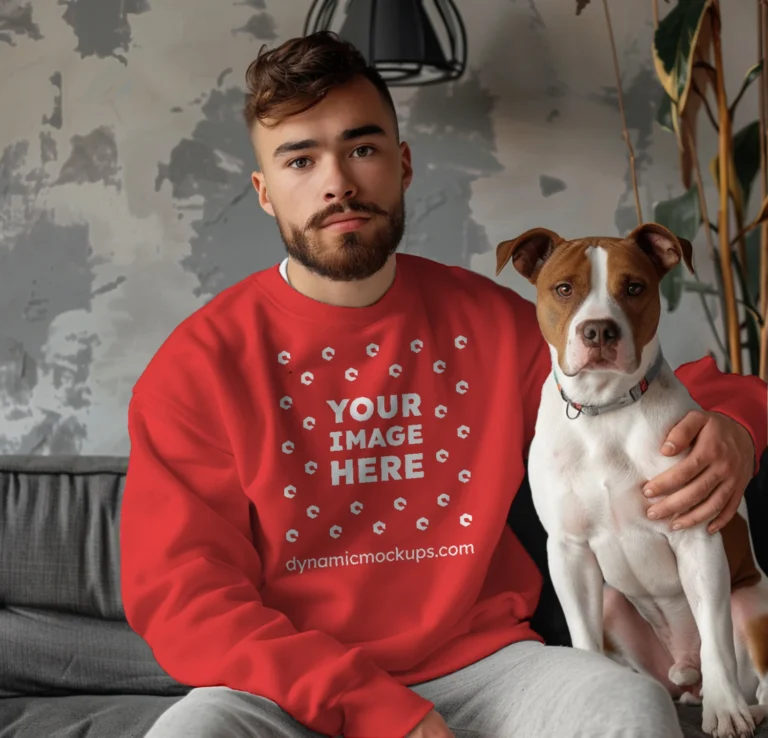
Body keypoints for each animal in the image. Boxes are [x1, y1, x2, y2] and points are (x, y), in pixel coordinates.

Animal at [496, 221, 768, 732]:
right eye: (564, 289)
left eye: (634, 288)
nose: (599, 329)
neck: (605, 410)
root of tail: (684, 671)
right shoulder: (569, 550)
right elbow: (582, 639)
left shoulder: (696, 537)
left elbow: (715, 638)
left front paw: (725, 711)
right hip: (613, 604)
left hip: (753, 604)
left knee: (752, 674)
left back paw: (742, 705)